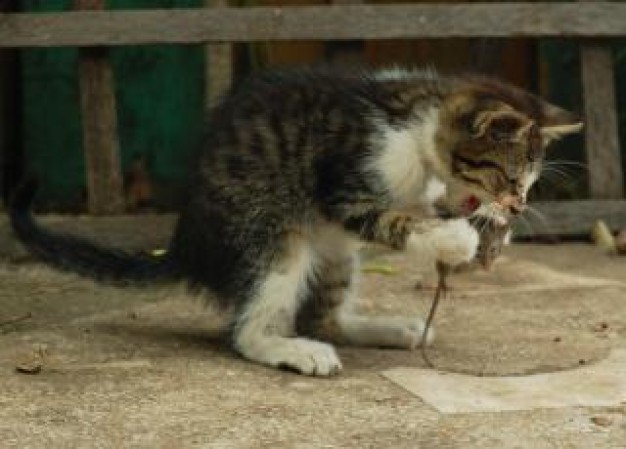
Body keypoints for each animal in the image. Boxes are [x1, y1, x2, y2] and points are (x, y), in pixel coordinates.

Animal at [11, 65, 580, 374]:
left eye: (528, 184)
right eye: (508, 177)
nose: (517, 207)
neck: (415, 129)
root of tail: (186, 244)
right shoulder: (343, 186)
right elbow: (393, 221)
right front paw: (455, 240)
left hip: (336, 253)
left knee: (322, 316)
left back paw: (387, 329)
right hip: (272, 231)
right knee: (247, 329)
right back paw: (288, 349)